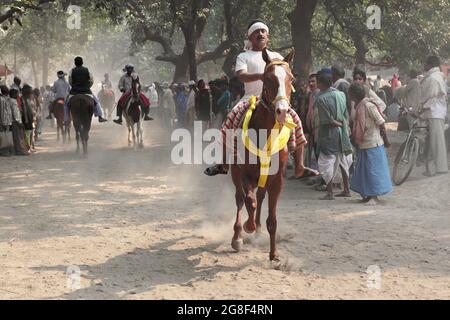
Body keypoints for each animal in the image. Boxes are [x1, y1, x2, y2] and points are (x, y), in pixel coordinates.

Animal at [232, 48, 296, 266]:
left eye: (291, 78)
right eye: (268, 78)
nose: (282, 111)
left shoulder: (277, 179)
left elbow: (272, 219)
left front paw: (274, 254)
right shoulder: (244, 173)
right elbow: (248, 200)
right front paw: (248, 227)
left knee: (258, 196)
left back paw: (257, 229)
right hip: (234, 172)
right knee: (240, 198)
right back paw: (238, 236)